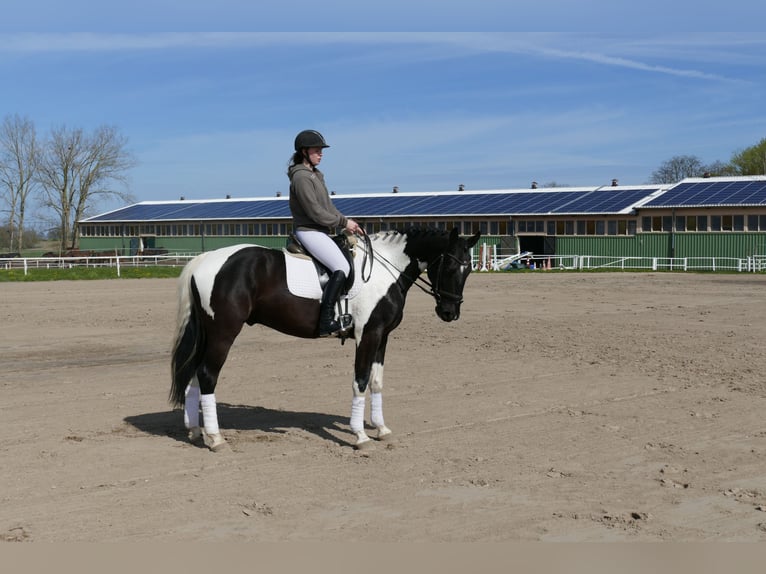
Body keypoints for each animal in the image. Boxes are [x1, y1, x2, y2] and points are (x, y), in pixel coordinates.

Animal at [170, 227, 480, 452]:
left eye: (468, 269)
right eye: (450, 267)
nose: (450, 312)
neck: (385, 270)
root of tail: (204, 260)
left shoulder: (382, 336)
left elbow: (377, 382)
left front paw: (381, 429)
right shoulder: (367, 335)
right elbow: (360, 381)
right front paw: (360, 436)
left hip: (209, 334)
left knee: (194, 376)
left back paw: (196, 431)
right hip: (223, 333)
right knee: (207, 375)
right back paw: (216, 439)